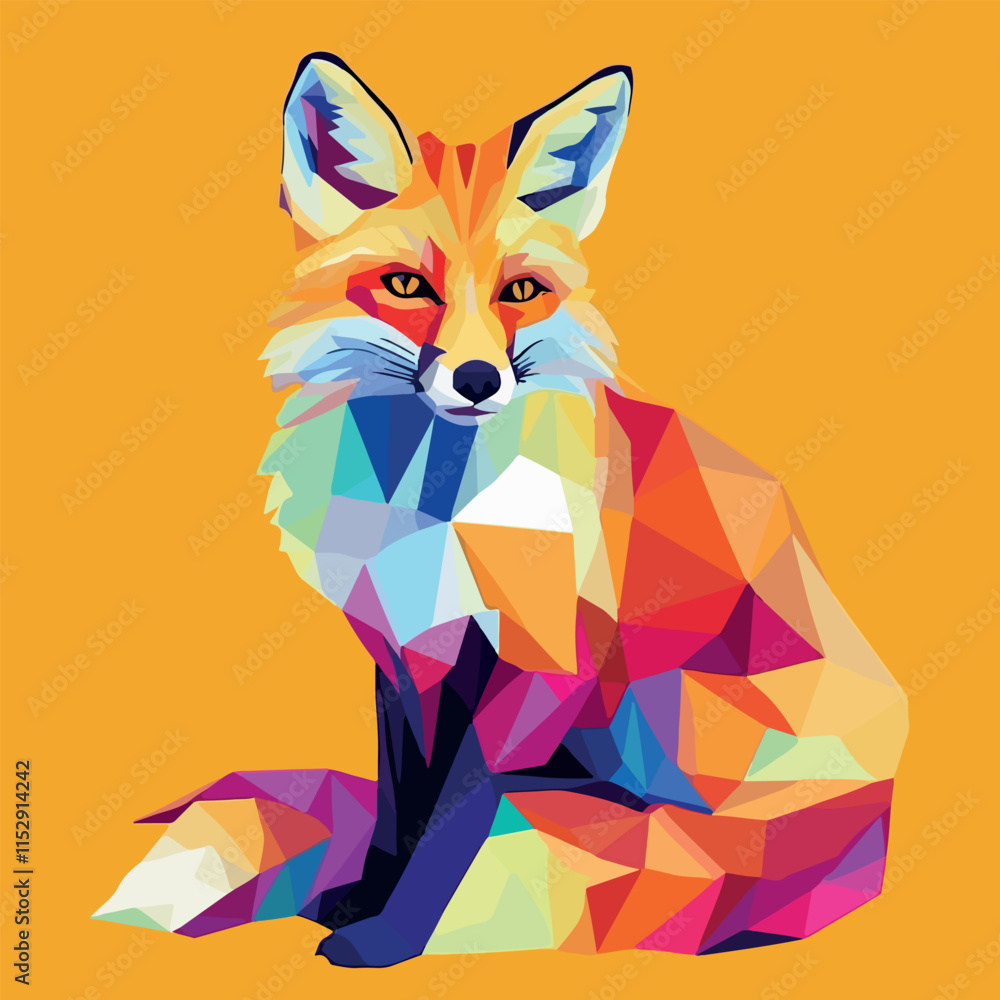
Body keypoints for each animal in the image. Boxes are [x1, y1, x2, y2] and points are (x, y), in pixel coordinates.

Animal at [95, 54, 908, 968]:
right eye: (406, 286)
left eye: (521, 291)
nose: (480, 381)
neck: (435, 513)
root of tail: (875, 840)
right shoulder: (407, 654)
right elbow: (401, 806)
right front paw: (360, 900)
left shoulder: (536, 664)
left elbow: (461, 816)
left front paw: (393, 937)